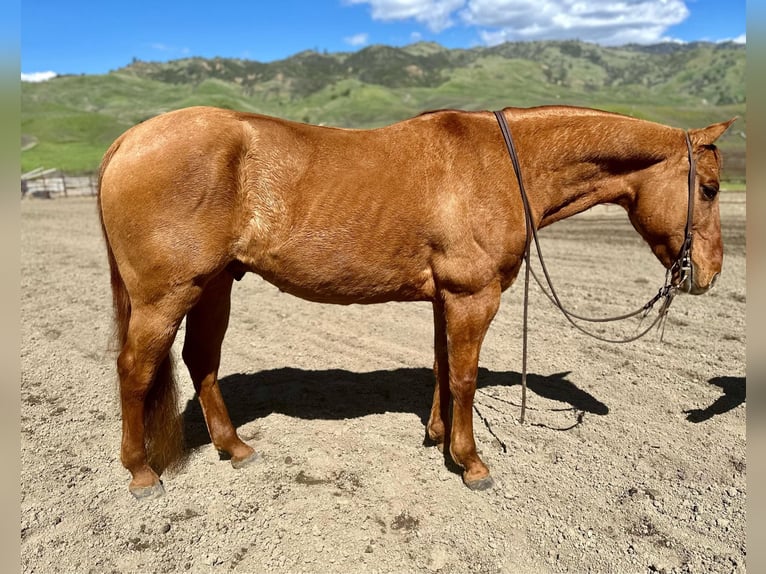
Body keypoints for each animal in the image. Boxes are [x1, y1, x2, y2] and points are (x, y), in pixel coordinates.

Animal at [99, 104, 736, 500]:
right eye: (708, 189)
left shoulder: (444, 297)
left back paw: (234, 448)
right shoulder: (473, 297)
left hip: (214, 286)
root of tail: (130, 140)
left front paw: (436, 437)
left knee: (201, 362)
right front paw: (472, 463)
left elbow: (441, 366)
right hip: (166, 296)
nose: (707, 274)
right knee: (135, 370)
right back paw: (141, 474)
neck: (501, 164)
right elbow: (465, 378)